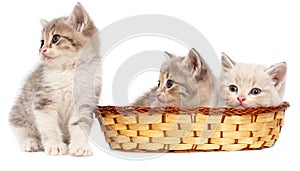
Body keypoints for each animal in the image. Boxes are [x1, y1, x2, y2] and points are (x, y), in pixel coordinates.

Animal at [8, 2, 101, 157]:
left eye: (56, 38)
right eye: (42, 42)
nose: (42, 50)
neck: (69, 70)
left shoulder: (85, 101)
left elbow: (79, 125)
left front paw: (80, 146)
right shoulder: (43, 100)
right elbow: (49, 126)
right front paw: (55, 145)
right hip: (20, 113)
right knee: (23, 130)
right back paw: (31, 142)